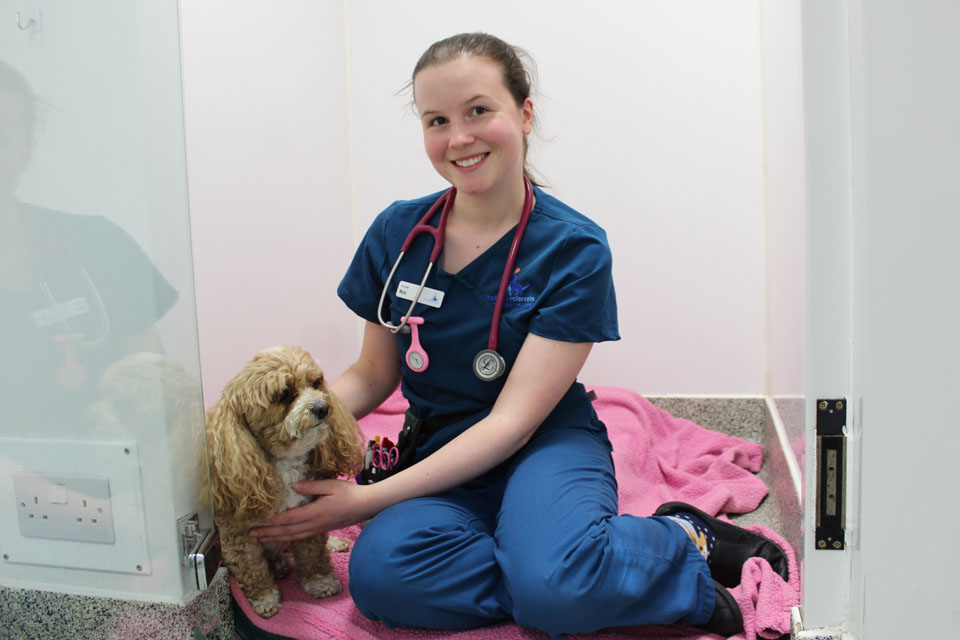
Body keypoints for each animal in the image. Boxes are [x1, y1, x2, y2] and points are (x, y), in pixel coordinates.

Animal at [204, 348, 362, 616]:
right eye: (284, 394)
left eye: (316, 383)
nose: (322, 407)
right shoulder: (238, 537)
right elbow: (252, 570)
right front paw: (265, 598)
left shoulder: (307, 521)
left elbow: (313, 555)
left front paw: (320, 582)